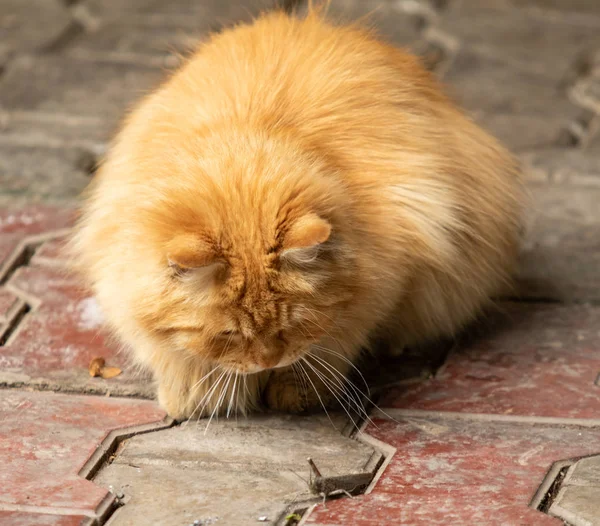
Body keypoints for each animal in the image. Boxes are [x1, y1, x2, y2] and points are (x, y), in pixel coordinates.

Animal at [69, 7, 520, 420]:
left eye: (291, 324)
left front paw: (295, 389)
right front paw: (202, 394)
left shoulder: (391, 269)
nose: (267, 360)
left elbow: (334, 340)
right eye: (229, 333)